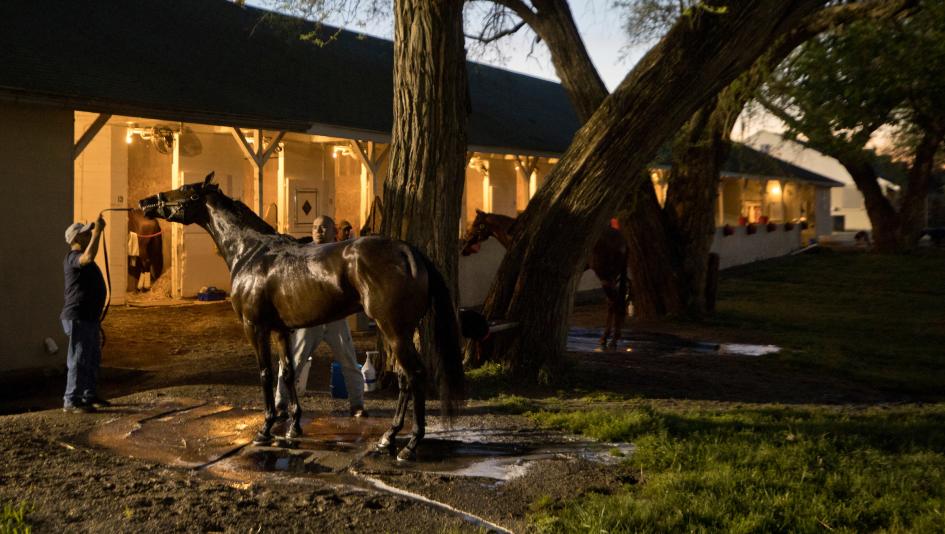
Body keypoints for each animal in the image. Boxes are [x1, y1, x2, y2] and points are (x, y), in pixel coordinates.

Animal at [139, 172, 464, 461]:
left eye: (185, 189)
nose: (146, 201)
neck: (251, 251)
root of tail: (409, 252)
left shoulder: (254, 327)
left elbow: (266, 373)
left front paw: (266, 429)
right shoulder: (281, 330)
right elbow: (288, 371)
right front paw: (293, 427)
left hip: (394, 330)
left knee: (415, 375)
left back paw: (409, 446)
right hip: (399, 332)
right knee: (406, 379)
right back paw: (388, 438)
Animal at [461, 209, 630, 349]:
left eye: (476, 225)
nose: (464, 246)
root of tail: (623, 241)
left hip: (606, 277)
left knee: (615, 303)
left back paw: (611, 340)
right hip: (612, 278)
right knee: (613, 303)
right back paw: (609, 338)